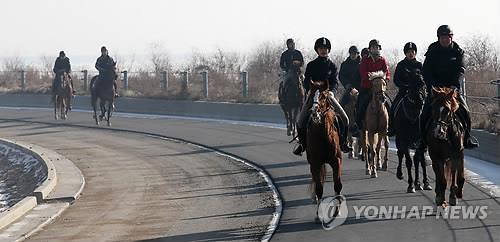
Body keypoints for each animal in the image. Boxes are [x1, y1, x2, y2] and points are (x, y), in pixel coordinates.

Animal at [304, 80, 344, 222]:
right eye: (312, 95)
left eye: (323, 96)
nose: (314, 112)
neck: (323, 135)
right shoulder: (316, 163)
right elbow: (319, 188)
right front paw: (318, 215)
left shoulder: (337, 161)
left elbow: (337, 185)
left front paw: (337, 212)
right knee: (316, 182)